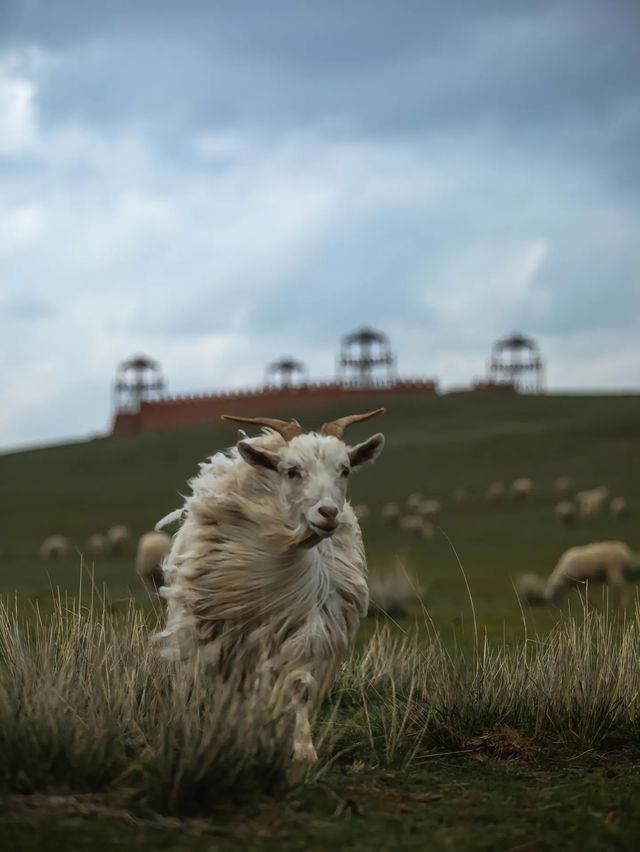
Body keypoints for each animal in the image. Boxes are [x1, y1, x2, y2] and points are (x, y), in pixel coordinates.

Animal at [156, 410, 384, 768]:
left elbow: (299, 685)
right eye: (292, 471)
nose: (329, 513)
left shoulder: (308, 627)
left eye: (345, 469)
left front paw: (303, 750)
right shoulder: (221, 629)